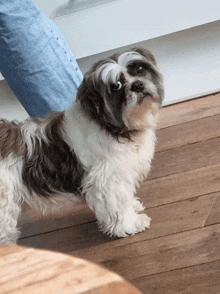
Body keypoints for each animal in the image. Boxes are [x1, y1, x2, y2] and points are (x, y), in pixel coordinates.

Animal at [0, 47, 163, 243]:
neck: (110, 126)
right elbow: (116, 204)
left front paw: (132, 206)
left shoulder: (123, 171)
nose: (137, 85)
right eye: (115, 86)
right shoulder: (107, 178)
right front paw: (130, 224)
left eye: (139, 69)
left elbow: (124, 195)